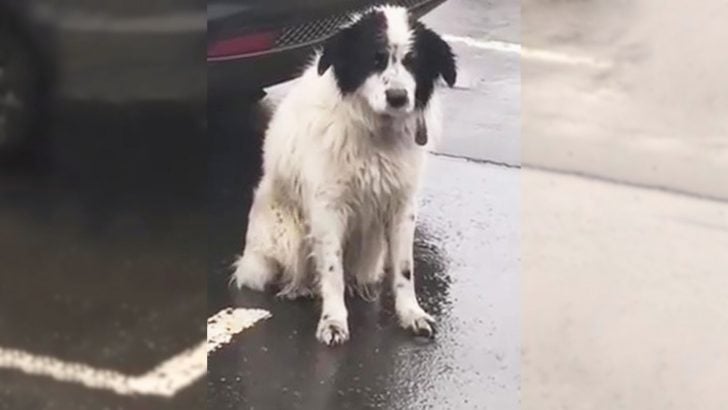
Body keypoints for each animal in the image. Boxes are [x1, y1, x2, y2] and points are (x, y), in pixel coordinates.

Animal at [233, 5, 456, 346]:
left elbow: (405, 269)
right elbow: (331, 270)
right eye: (375, 59)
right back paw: (298, 288)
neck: (377, 133)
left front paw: (411, 314)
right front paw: (334, 321)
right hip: (285, 236)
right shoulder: (328, 208)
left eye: (413, 61)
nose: (397, 97)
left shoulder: (403, 206)